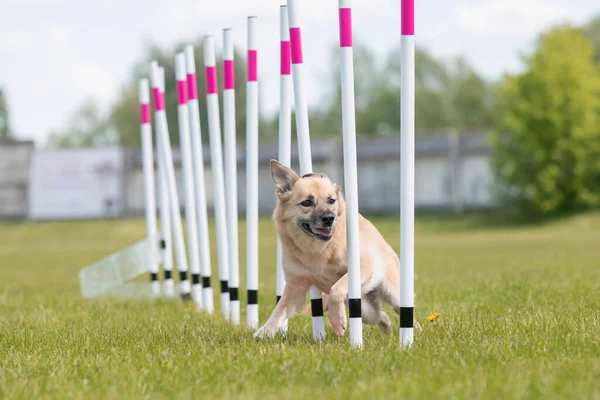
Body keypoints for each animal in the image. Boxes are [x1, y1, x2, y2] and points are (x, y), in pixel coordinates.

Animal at [254, 159, 422, 338]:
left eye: (331, 200)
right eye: (307, 203)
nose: (329, 218)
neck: (317, 250)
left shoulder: (362, 268)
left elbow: (336, 288)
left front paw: (337, 320)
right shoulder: (296, 287)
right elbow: (279, 309)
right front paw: (265, 331)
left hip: (393, 294)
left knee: (404, 311)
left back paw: (414, 332)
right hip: (363, 308)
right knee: (381, 316)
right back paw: (387, 331)